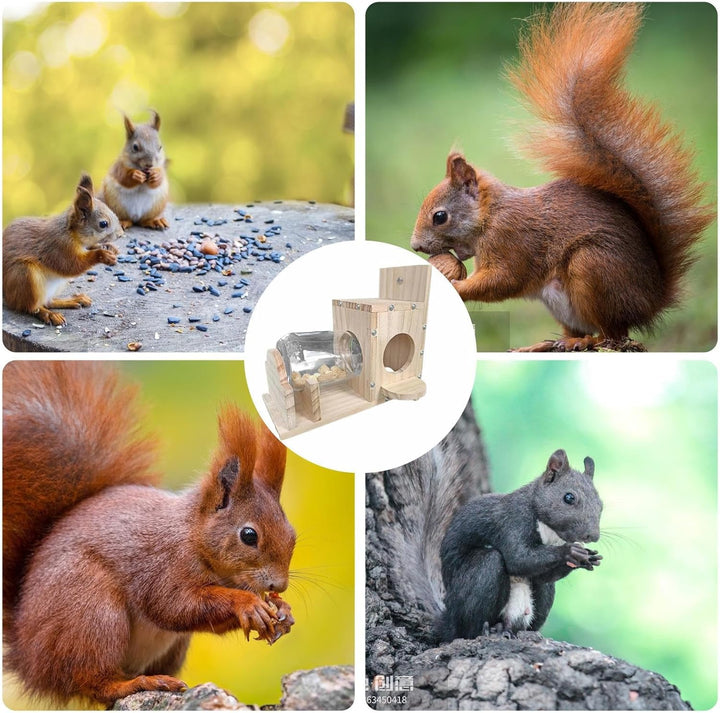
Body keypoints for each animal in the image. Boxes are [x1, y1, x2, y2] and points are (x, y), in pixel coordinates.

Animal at [2, 173, 122, 326]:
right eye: (103, 224)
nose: (121, 234)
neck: (71, 233)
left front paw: (110, 248)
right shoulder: (58, 247)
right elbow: (70, 265)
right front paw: (102, 255)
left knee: (48, 301)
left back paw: (72, 300)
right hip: (24, 275)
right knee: (31, 307)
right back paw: (49, 314)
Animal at [2, 361, 296, 706]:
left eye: (292, 534)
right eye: (249, 535)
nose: (280, 585)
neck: (192, 536)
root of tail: (26, 658)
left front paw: (283, 611)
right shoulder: (163, 565)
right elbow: (173, 606)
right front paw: (248, 604)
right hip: (91, 612)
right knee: (92, 679)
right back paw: (137, 683)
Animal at [410, 3, 715, 351]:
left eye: (440, 216)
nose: (415, 246)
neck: (491, 215)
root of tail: (651, 302)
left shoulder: (512, 239)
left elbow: (505, 280)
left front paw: (453, 287)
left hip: (592, 267)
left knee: (611, 334)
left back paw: (580, 342)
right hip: (564, 303)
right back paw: (542, 345)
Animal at [438, 449, 602, 641]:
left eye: (601, 505)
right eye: (569, 497)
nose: (593, 536)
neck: (549, 529)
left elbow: (541, 575)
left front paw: (587, 557)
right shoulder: (513, 520)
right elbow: (517, 559)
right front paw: (569, 552)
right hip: (474, 582)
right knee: (467, 628)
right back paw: (485, 631)